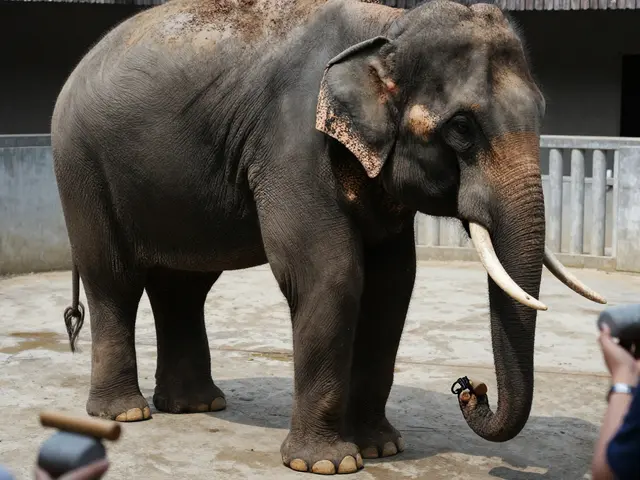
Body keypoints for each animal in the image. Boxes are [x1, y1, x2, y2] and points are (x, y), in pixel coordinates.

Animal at [51, 0, 607, 474]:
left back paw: (195, 405)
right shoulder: (293, 144)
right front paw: (326, 464)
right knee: (114, 281)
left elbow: (392, 285)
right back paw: (125, 414)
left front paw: (381, 449)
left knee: (183, 287)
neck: (389, 29)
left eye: (542, 113)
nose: (470, 388)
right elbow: (331, 274)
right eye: (462, 127)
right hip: (81, 168)